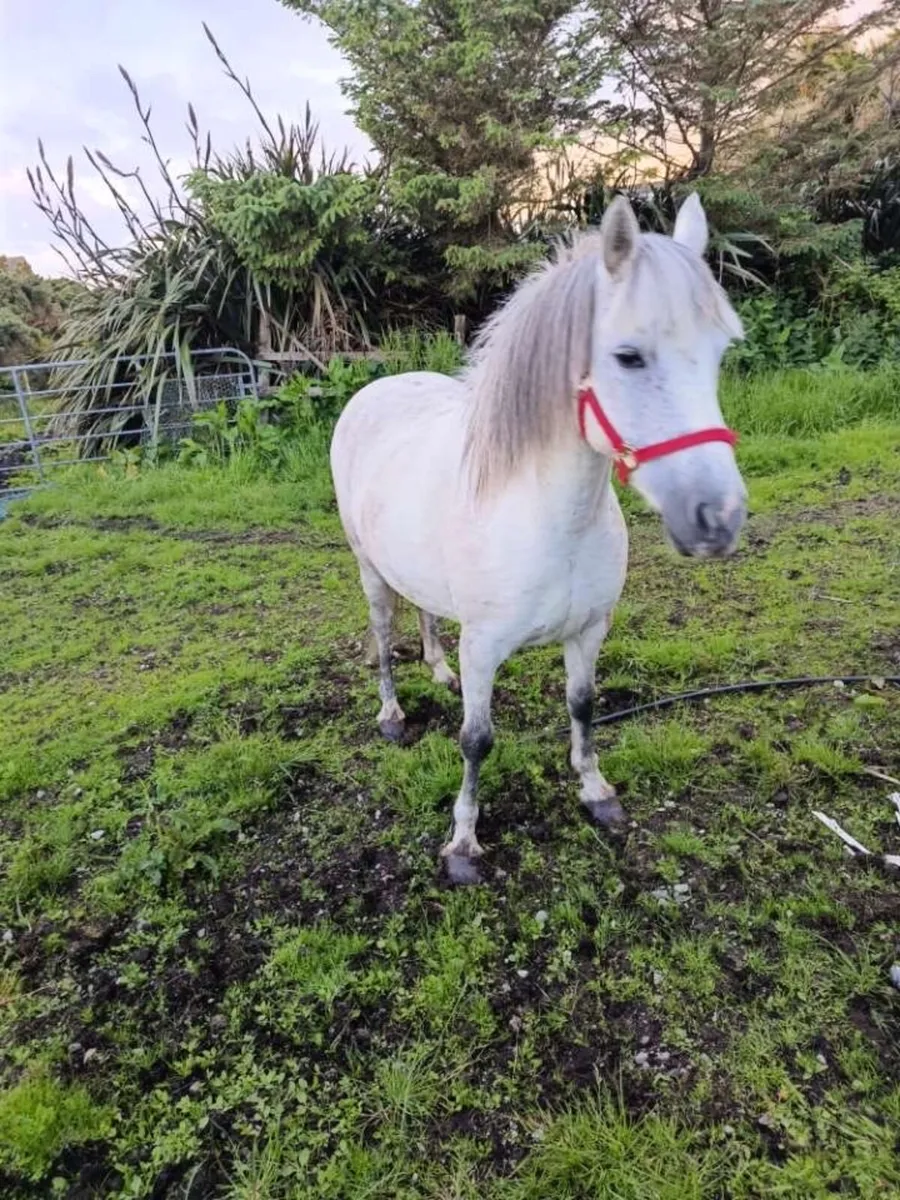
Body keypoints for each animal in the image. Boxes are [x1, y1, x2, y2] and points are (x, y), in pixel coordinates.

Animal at [331, 193, 747, 884]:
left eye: (720, 353)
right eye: (628, 356)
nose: (719, 518)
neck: (553, 521)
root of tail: (376, 387)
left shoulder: (589, 631)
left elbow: (583, 705)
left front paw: (596, 791)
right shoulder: (484, 649)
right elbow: (476, 740)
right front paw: (463, 845)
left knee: (425, 613)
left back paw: (437, 670)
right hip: (369, 569)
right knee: (385, 635)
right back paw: (391, 715)